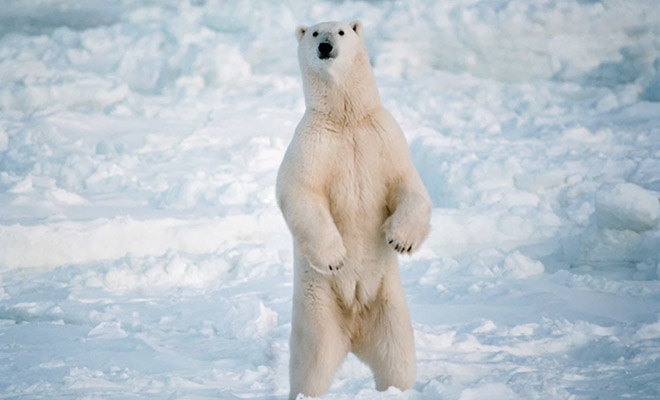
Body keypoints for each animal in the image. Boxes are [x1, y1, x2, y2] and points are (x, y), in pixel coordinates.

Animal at [276, 21, 430, 400]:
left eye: (342, 31)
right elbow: (300, 191)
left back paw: (396, 390)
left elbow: (407, 184)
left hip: (388, 306)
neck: (346, 119)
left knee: (397, 357)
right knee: (311, 365)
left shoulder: (384, 138)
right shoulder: (312, 145)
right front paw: (335, 257)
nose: (326, 47)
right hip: (318, 310)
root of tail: (354, 332)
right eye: (315, 33)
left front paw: (400, 240)